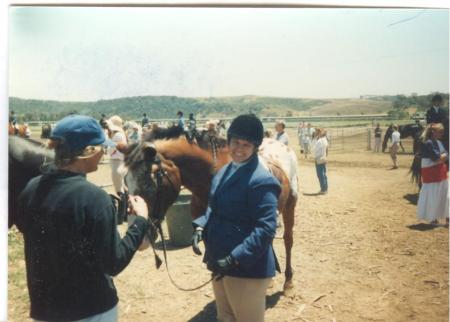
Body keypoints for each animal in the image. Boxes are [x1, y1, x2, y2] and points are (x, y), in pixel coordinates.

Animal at [123, 127, 298, 292]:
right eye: (126, 182)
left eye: (149, 182)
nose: (142, 239)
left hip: (290, 205)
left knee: (288, 240)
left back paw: (288, 282)